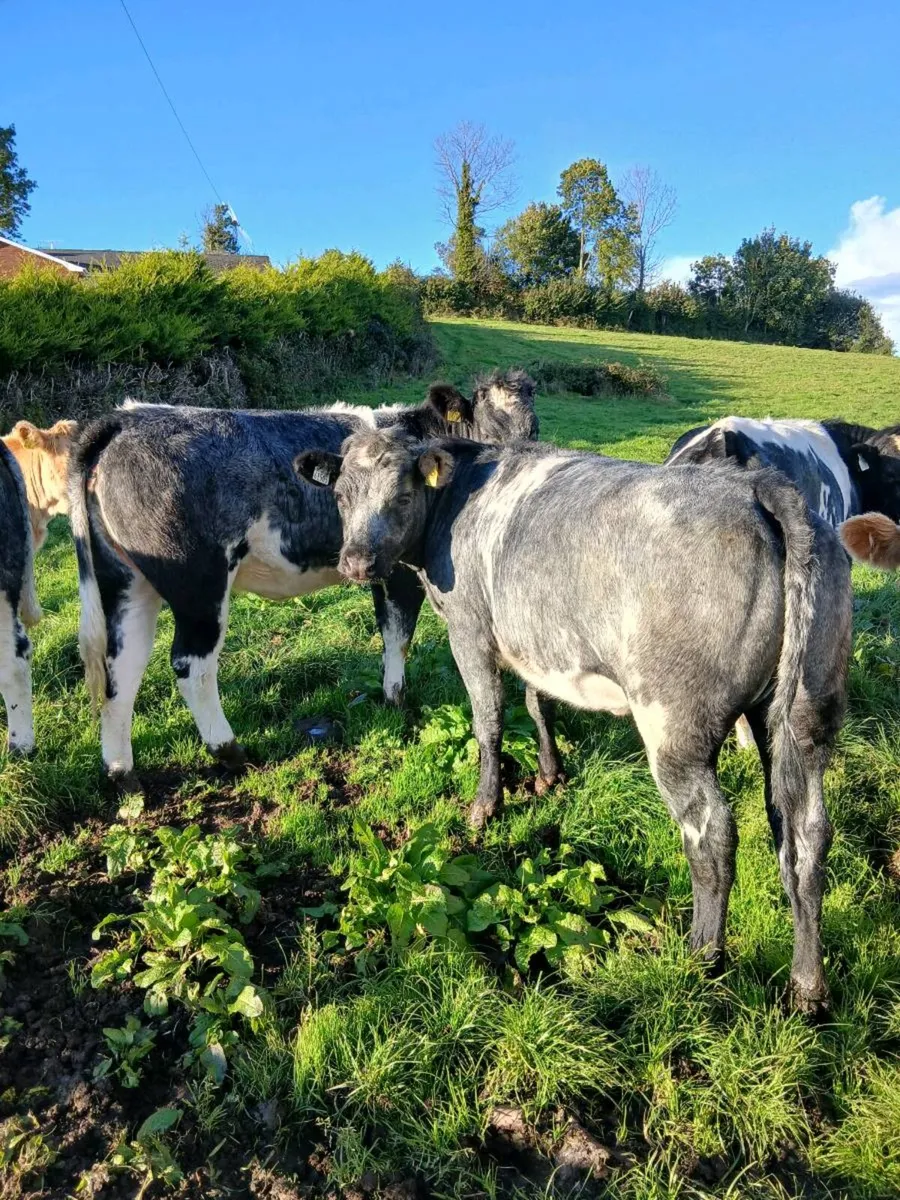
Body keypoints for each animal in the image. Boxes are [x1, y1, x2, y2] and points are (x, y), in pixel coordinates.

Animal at [68, 370, 538, 784]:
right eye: (491, 425)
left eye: (533, 427)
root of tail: (125, 418)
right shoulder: (403, 571)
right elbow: (400, 635)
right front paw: (398, 700)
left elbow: (388, 630)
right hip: (198, 582)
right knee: (191, 664)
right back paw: (230, 751)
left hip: (126, 582)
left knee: (120, 666)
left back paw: (122, 774)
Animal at [296, 429, 853, 1014]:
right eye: (341, 496)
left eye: (402, 496)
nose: (356, 562)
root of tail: (755, 487)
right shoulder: (536, 639)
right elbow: (539, 702)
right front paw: (549, 773)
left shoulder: (469, 630)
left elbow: (488, 719)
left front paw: (485, 807)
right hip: (803, 714)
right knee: (806, 834)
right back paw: (807, 987)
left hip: (674, 725)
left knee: (712, 832)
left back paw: (702, 957)